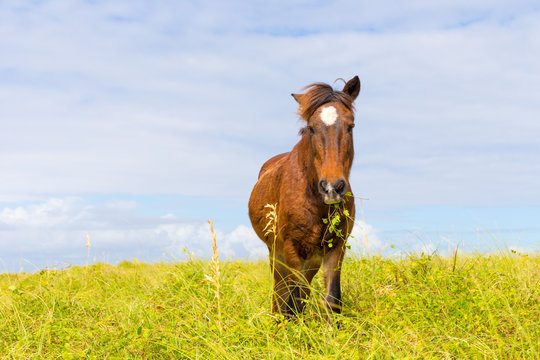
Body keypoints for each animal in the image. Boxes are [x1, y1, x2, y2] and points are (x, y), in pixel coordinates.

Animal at [248, 75, 358, 316]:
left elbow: (332, 300)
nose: (332, 187)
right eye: (311, 128)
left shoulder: (335, 248)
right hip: (277, 253)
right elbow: (293, 302)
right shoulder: (291, 249)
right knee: (280, 291)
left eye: (351, 126)